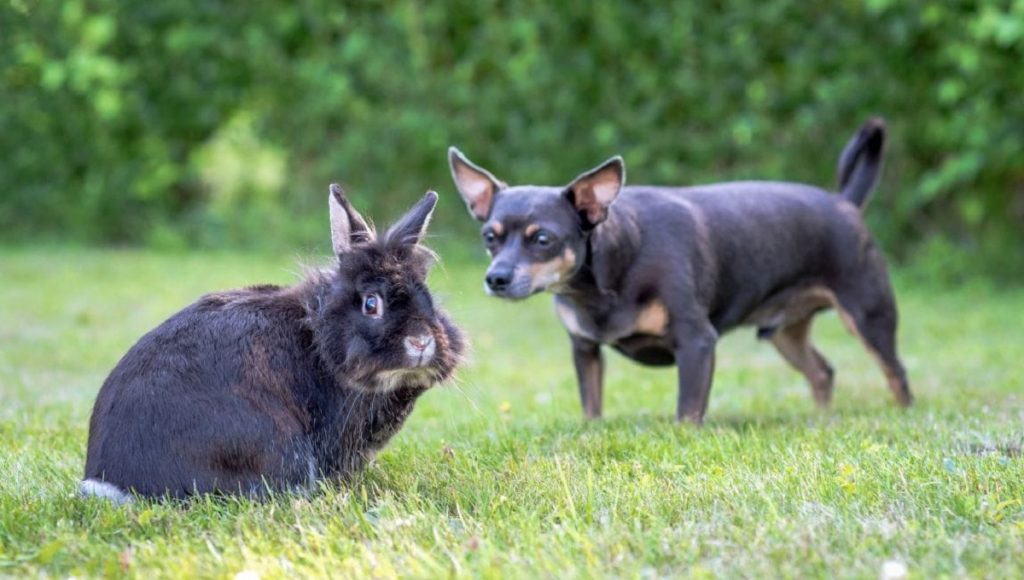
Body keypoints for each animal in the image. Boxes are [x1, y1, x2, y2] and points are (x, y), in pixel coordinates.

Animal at [448, 119, 913, 428]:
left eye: (542, 239)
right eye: (490, 237)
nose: (496, 278)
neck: (606, 278)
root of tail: (845, 202)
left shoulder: (696, 342)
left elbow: (688, 409)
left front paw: (683, 434)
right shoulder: (584, 348)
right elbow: (591, 404)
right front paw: (592, 433)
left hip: (868, 317)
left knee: (895, 371)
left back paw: (903, 414)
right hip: (785, 333)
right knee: (822, 371)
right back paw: (821, 418)